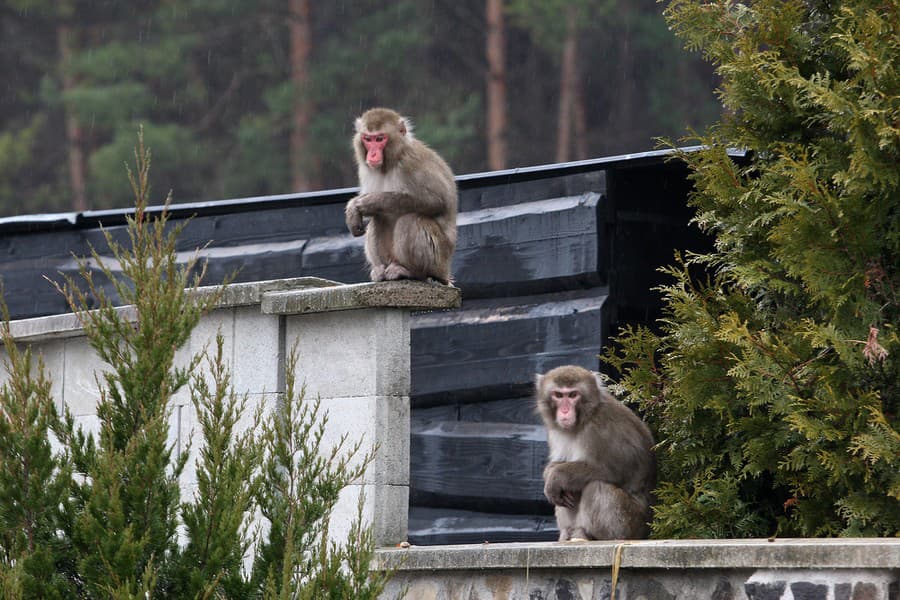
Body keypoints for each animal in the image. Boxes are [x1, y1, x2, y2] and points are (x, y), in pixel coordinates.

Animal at [344, 107, 458, 284]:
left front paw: (371, 202)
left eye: (380, 139)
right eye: (368, 139)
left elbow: (437, 201)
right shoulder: (366, 169)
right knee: (378, 219)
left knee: (410, 219)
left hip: (439, 260)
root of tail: (446, 272)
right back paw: (381, 270)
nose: (372, 154)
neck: (390, 162)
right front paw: (353, 209)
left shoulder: (411, 163)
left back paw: (412, 272)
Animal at [536, 364, 652, 540]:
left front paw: (556, 476)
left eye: (573, 395)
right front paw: (549, 472)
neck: (584, 419)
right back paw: (568, 532)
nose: (564, 411)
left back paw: (585, 534)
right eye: (558, 395)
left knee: (596, 486)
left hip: (629, 524)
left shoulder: (600, 430)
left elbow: (613, 471)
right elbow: (558, 464)